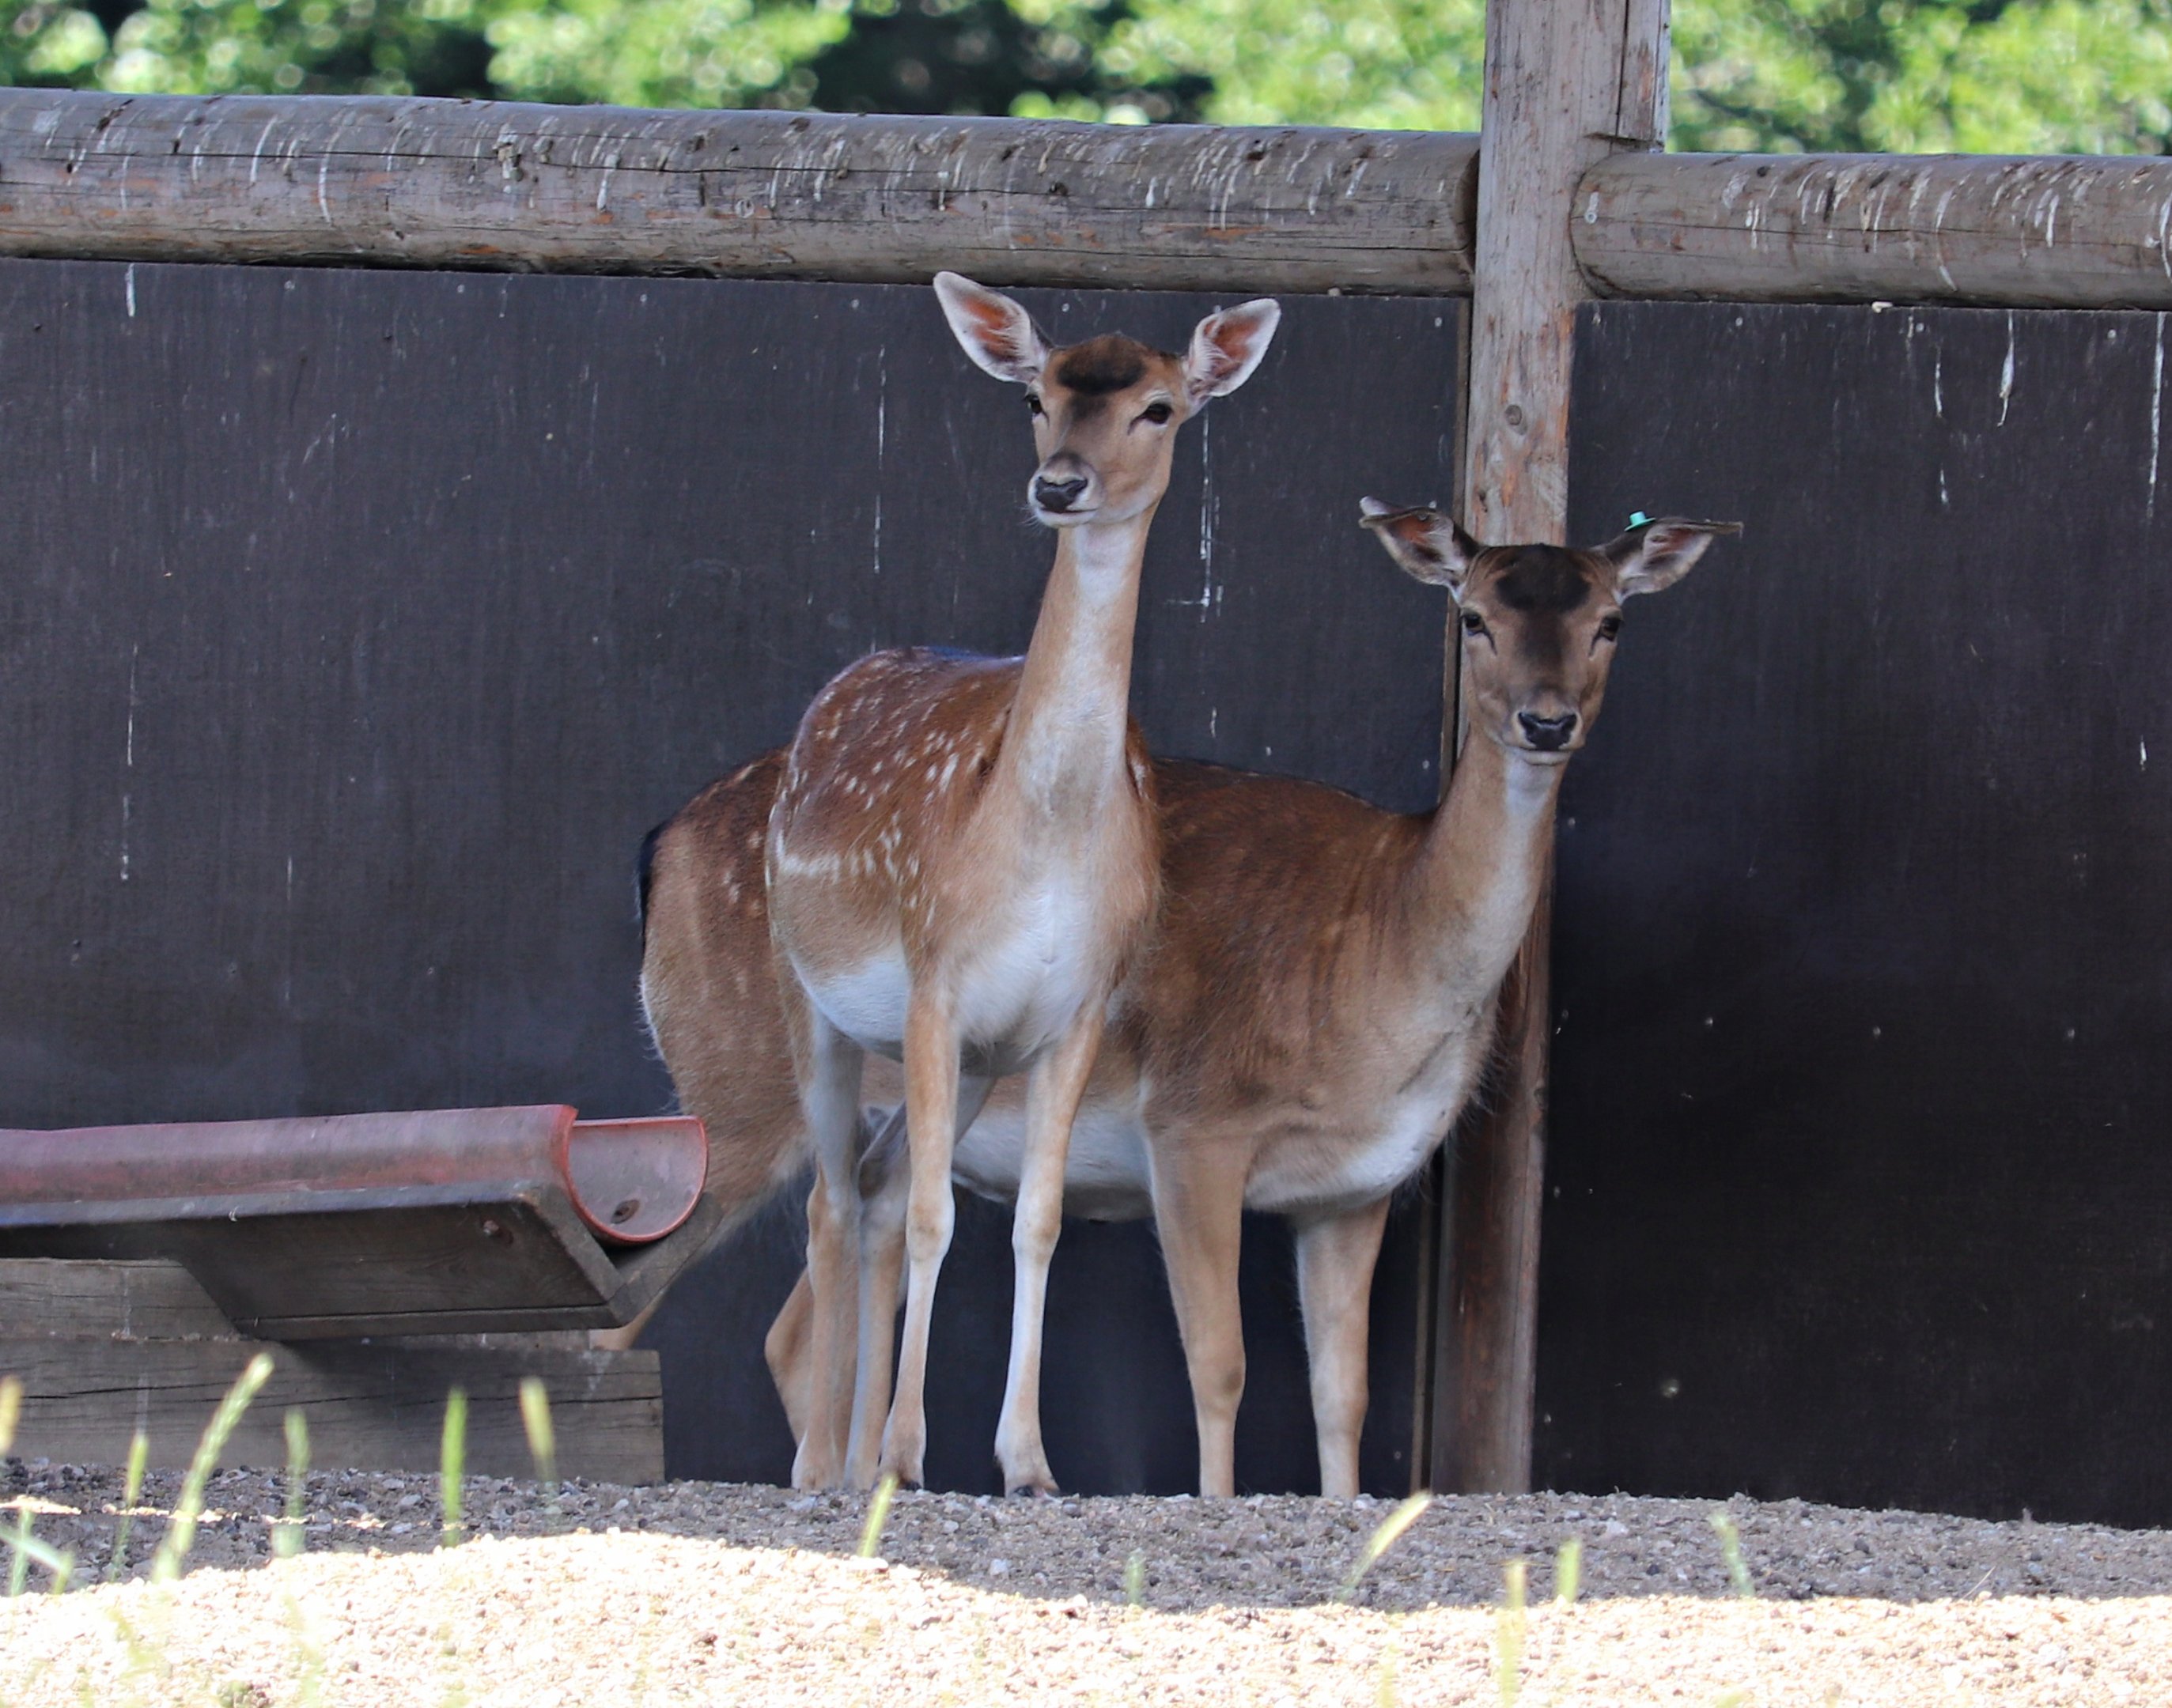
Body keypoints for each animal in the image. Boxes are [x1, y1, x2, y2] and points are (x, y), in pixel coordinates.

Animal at [636, 274, 1281, 1495]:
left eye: (1159, 407)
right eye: (1037, 395)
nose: (1059, 484)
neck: (1046, 834)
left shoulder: (1069, 1012)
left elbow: (1035, 1221)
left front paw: (1025, 1462)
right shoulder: (935, 979)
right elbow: (940, 1215)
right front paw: (906, 1454)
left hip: (973, 1059)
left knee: (875, 1192)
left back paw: (847, 1460)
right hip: (807, 1005)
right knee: (834, 1202)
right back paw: (822, 1466)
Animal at [762, 504, 1740, 1497]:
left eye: (1610, 622)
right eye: (1473, 618)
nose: (1546, 721)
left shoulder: (1356, 1186)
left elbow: (1342, 1393)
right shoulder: (1194, 1123)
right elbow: (1220, 1364)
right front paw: (1213, 1495)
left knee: (836, 1260)